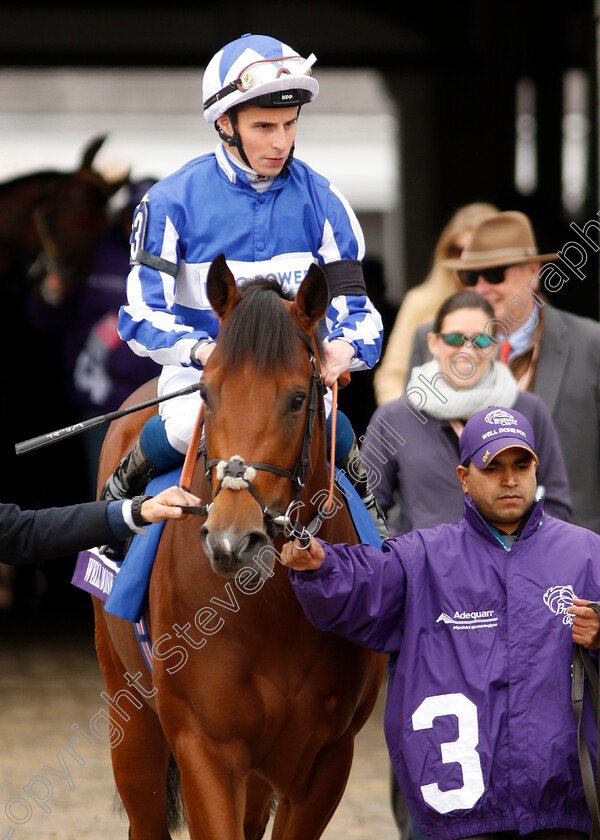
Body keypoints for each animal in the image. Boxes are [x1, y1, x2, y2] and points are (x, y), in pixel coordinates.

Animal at [92, 258, 384, 840]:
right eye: (207, 393)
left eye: (297, 398)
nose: (232, 539)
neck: (270, 611)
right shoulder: (205, 746)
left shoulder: (324, 761)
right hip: (129, 711)